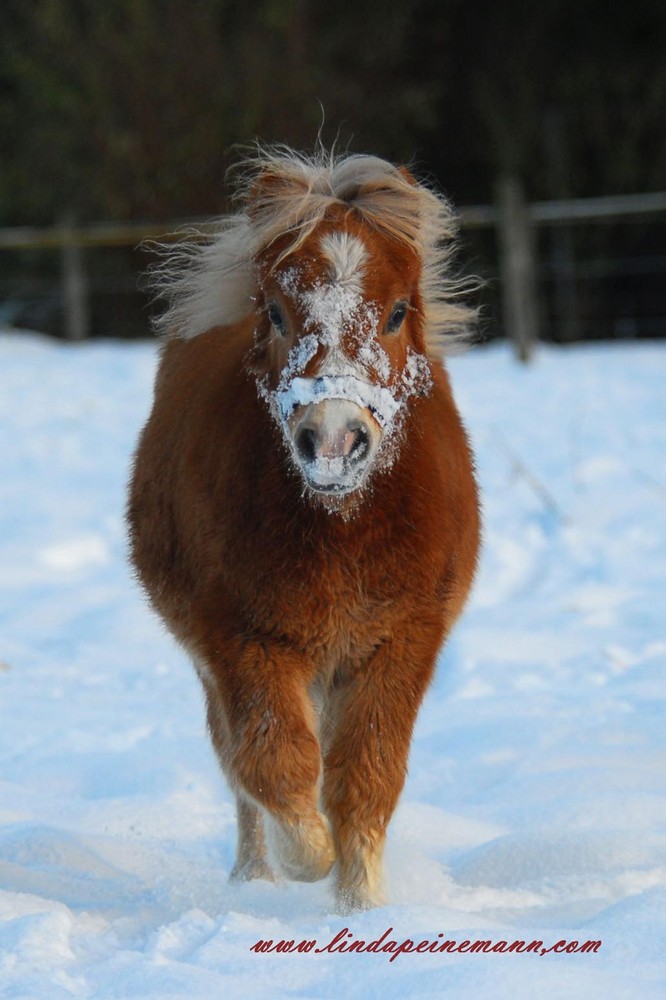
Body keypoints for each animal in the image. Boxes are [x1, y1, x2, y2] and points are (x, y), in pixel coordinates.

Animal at [126, 148, 478, 916]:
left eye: (398, 311)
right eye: (277, 311)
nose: (334, 441)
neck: (340, 531)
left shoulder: (401, 641)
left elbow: (365, 779)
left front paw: (361, 907)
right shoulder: (242, 640)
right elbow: (275, 764)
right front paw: (306, 861)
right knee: (240, 768)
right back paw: (253, 877)